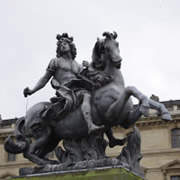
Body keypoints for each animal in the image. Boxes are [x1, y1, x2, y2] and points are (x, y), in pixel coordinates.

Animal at [3, 31, 170, 166]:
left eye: (117, 44)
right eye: (105, 48)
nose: (118, 61)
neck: (110, 83)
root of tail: (27, 114)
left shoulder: (125, 120)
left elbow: (139, 95)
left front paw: (162, 111)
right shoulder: (111, 113)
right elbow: (130, 89)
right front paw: (146, 106)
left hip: (52, 138)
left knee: (37, 152)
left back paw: (50, 162)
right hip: (42, 134)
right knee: (28, 152)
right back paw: (47, 163)